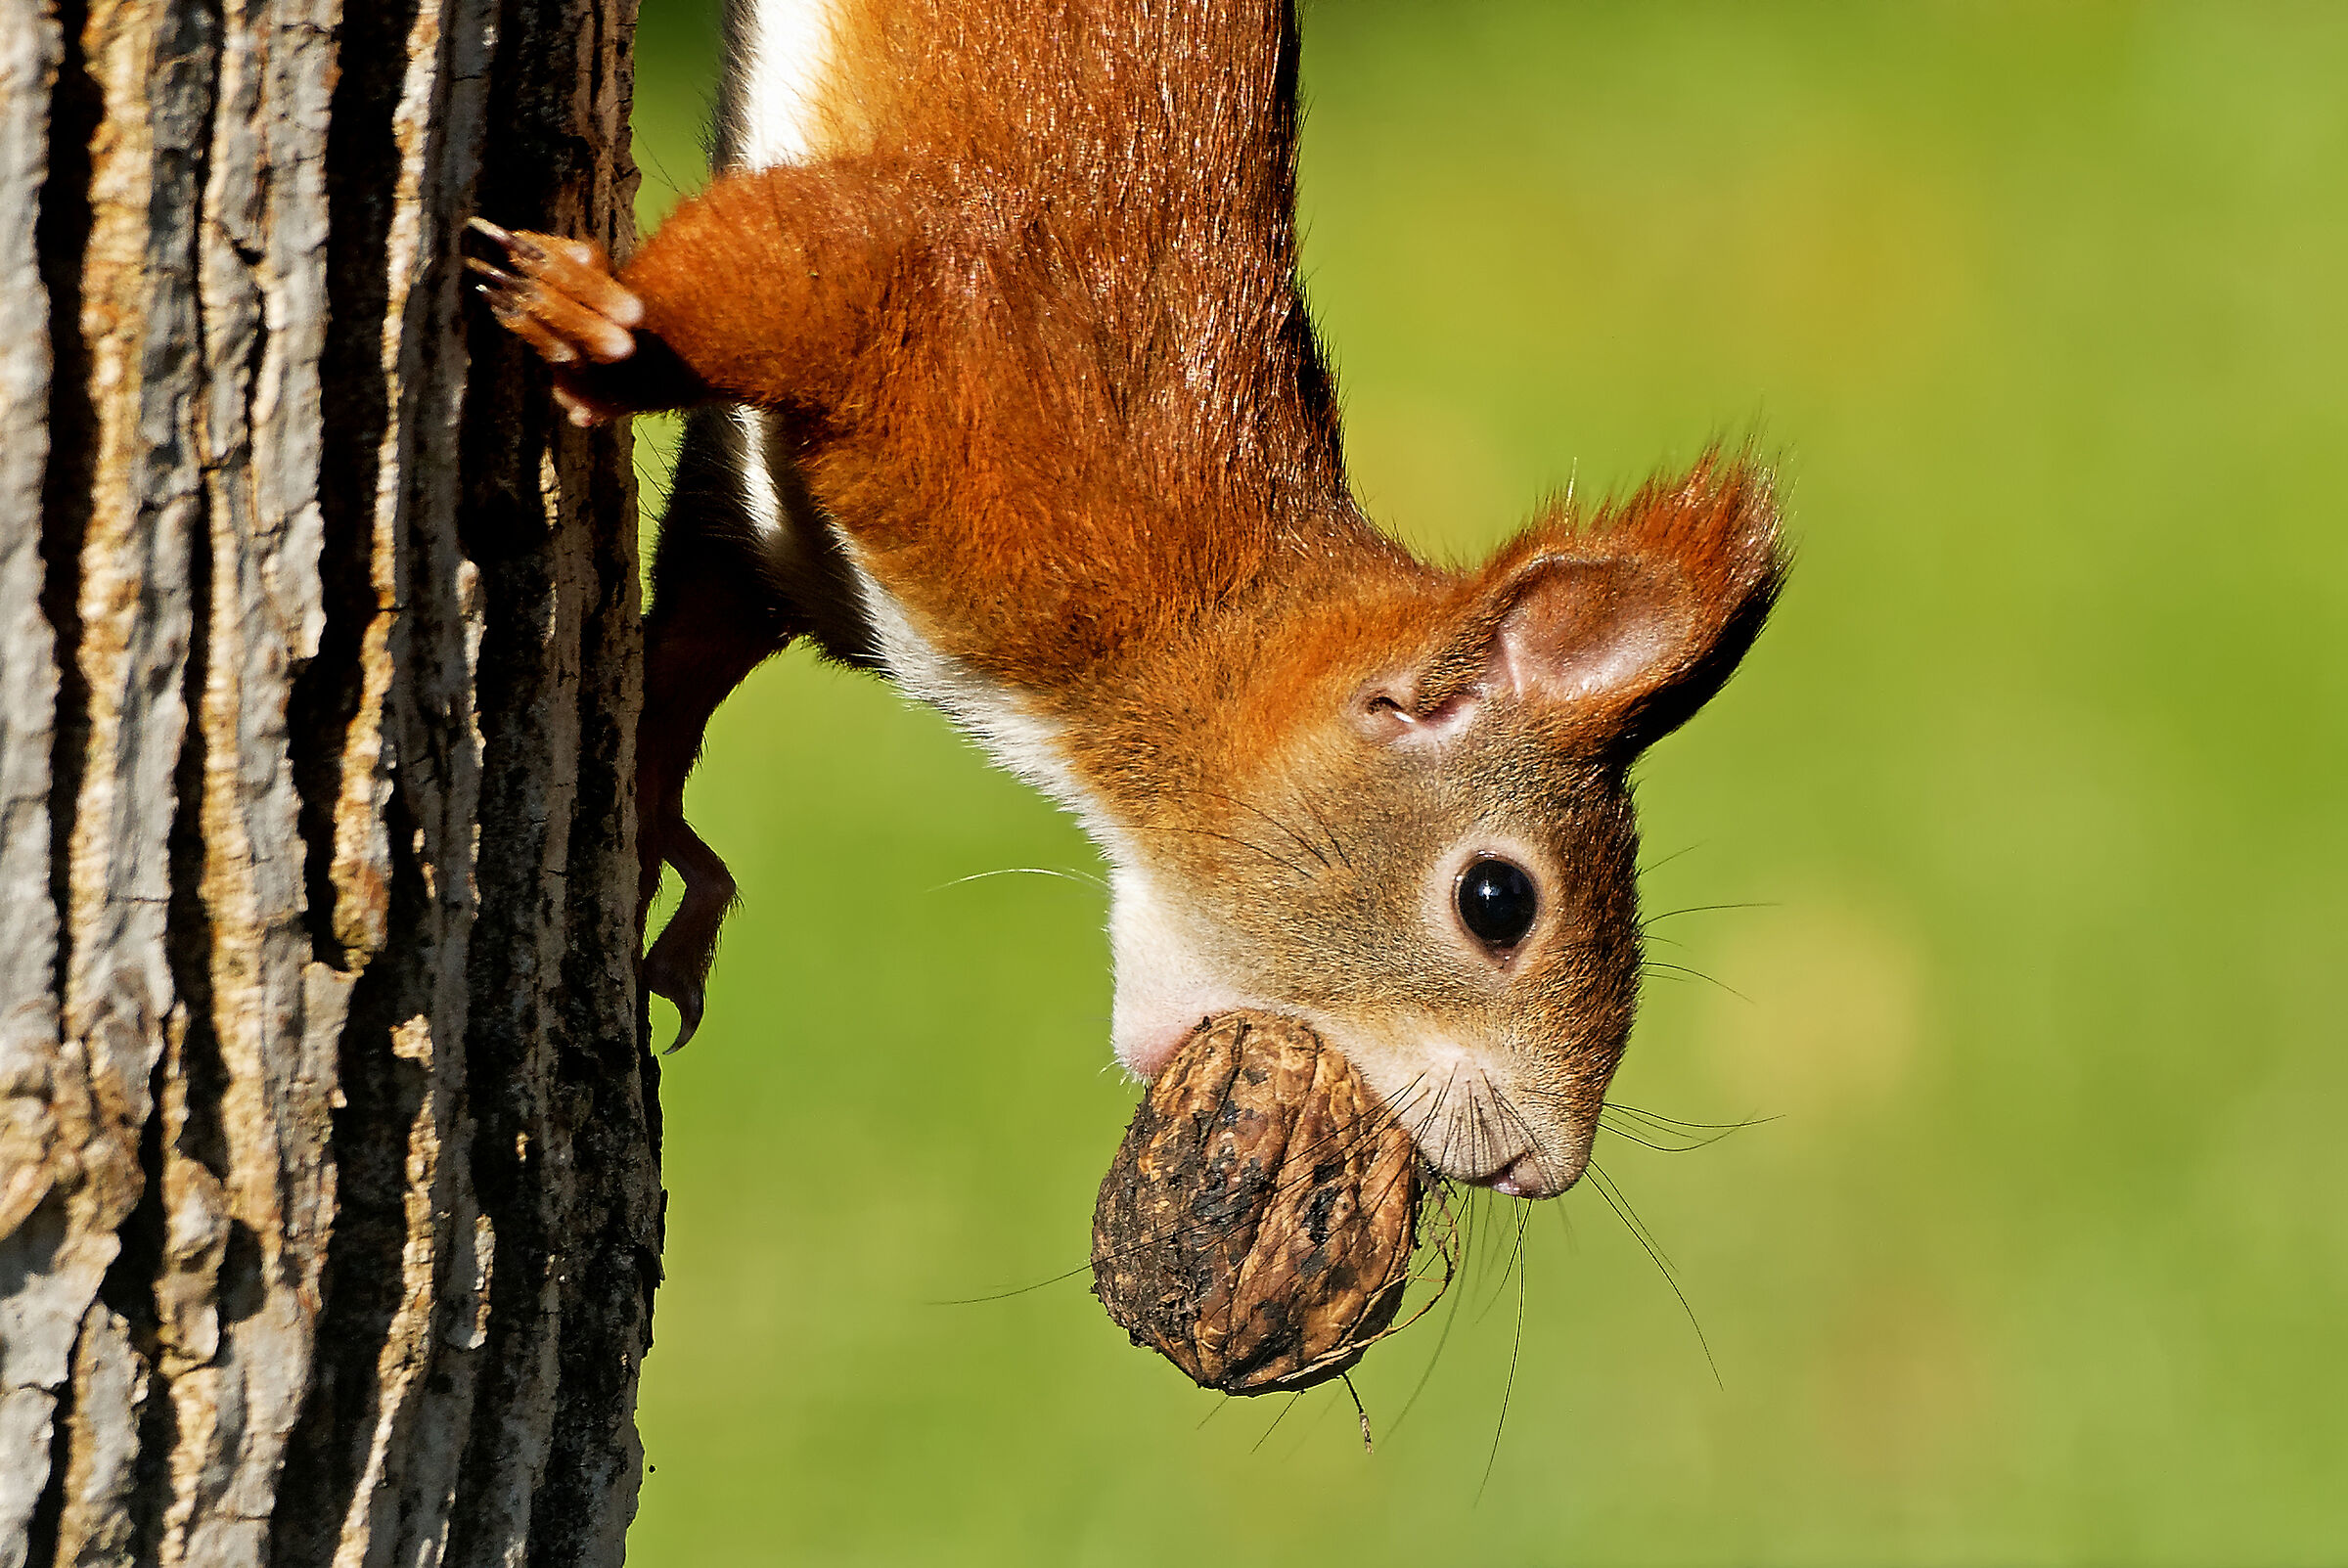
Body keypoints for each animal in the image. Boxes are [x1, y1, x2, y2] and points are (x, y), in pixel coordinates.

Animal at [467, 0, 1775, 1201]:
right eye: (1497, 900)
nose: (1541, 1171)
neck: (1196, 616)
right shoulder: (963, 333)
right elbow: (796, 255)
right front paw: (603, 326)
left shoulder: (783, 549)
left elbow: (692, 646)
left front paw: (651, 820)